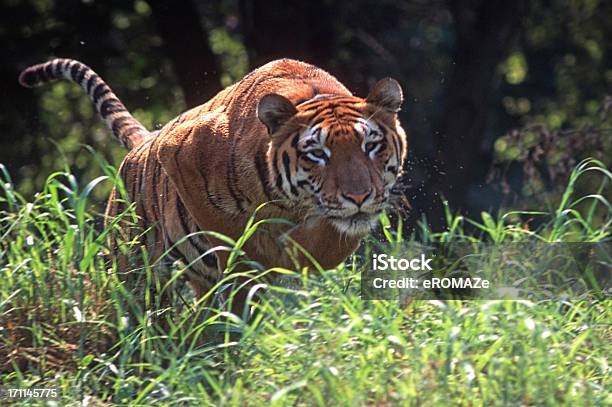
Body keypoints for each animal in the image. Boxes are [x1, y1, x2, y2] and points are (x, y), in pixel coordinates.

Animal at [19, 58, 408, 310]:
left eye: (371, 145)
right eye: (317, 153)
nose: (358, 196)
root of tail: (145, 140)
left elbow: (329, 242)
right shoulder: (179, 152)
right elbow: (230, 236)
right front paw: (251, 266)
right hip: (133, 262)